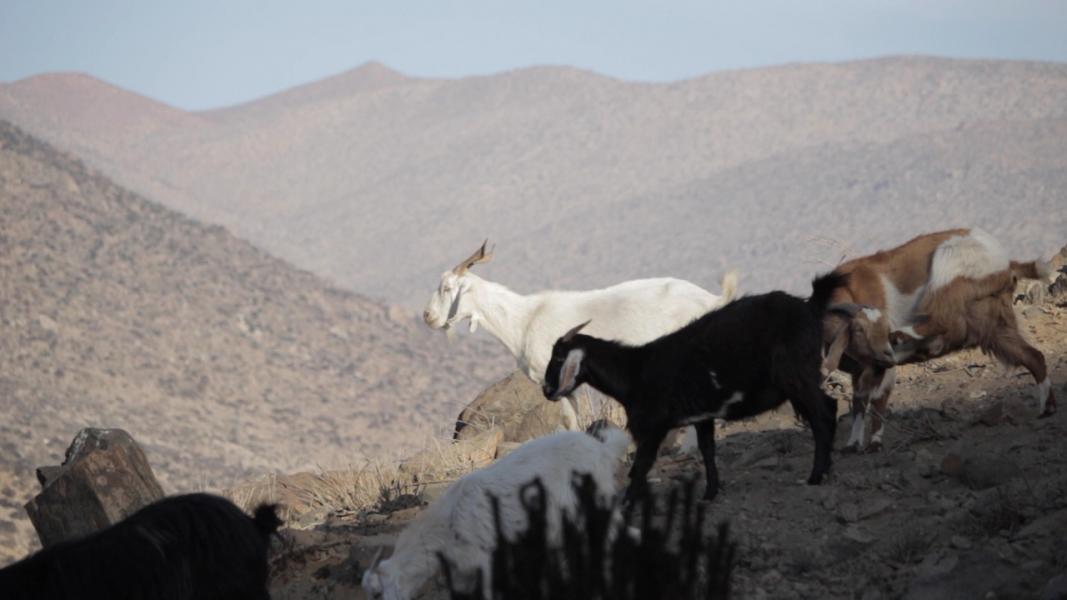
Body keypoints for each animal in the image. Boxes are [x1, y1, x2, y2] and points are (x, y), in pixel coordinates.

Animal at [423, 240, 738, 431]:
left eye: (447, 288)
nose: (427, 316)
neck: (524, 319)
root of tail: (710, 298)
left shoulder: (553, 378)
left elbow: (567, 420)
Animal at [542, 273, 848, 503]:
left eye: (558, 357)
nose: (546, 390)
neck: (635, 370)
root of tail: (809, 307)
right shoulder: (702, 416)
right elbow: (708, 452)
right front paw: (710, 493)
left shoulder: (652, 428)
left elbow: (640, 468)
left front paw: (628, 502)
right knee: (826, 411)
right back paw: (827, 469)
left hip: (797, 376)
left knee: (823, 414)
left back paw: (815, 476)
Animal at [822, 228, 1055, 452]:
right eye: (857, 330)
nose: (885, 351)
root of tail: (1006, 263)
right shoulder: (862, 369)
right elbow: (859, 400)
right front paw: (852, 444)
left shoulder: (881, 364)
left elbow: (879, 397)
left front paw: (874, 444)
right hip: (995, 328)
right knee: (1034, 356)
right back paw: (1047, 407)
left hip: (948, 266)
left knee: (945, 318)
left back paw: (901, 335)